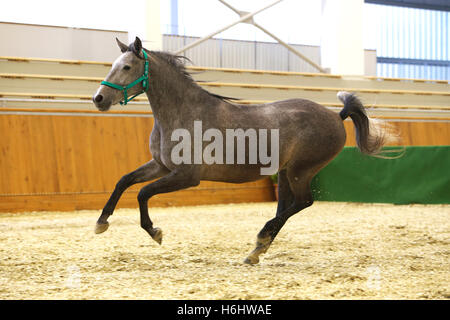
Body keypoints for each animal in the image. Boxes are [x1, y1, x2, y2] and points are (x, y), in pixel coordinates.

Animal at [92, 37, 394, 264]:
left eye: (127, 67)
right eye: (114, 65)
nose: (99, 99)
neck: (183, 114)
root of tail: (337, 115)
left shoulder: (186, 176)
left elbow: (143, 193)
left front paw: (155, 232)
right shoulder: (161, 165)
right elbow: (124, 181)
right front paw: (101, 222)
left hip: (301, 171)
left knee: (303, 202)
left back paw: (261, 238)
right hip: (285, 173)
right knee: (287, 206)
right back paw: (256, 251)